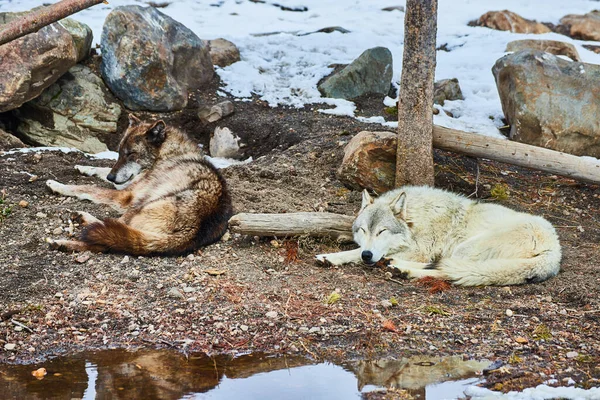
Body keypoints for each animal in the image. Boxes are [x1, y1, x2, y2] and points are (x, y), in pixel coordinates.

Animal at [44, 114, 231, 255]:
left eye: (131, 154)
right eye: (119, 153)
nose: (112, 177)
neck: (166, 155)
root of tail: (193, 232)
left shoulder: (125, 196)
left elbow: (87, 188)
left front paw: (56, 184)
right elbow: (101, 169)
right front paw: (83, 167)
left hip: (139, 206)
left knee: (110, 230)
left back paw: (69, 234)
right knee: (108, 238)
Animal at [316, 186, 560, 286]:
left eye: (382, 231)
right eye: (363, 230)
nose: (368, 256)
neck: (416, 219)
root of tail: (555, 251)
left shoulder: (419, 250)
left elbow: (358, 252)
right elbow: (354, 249)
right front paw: (330, 256)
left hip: (466, 248)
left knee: (447, 270)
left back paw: (402, 269)